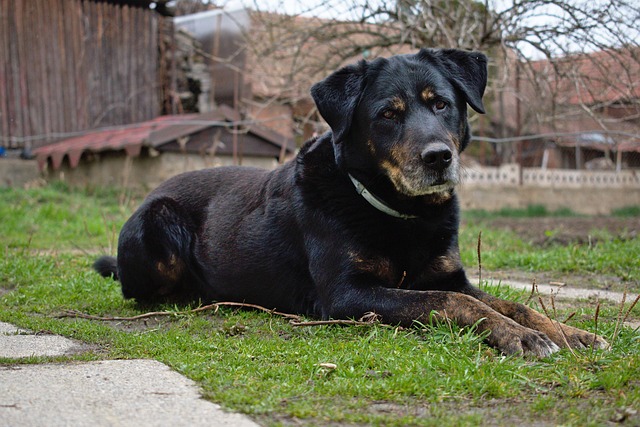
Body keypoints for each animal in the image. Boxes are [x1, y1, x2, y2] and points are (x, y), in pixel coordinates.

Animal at [95, 49, 604, 358]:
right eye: (388, 114)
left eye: (441, 104)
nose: (439, 157)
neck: (405, 214)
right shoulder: (348, 294)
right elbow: (454, 303)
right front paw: (522, 337)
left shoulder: (450, 275)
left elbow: (510, 303)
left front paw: (568, 332)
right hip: (159, 222)